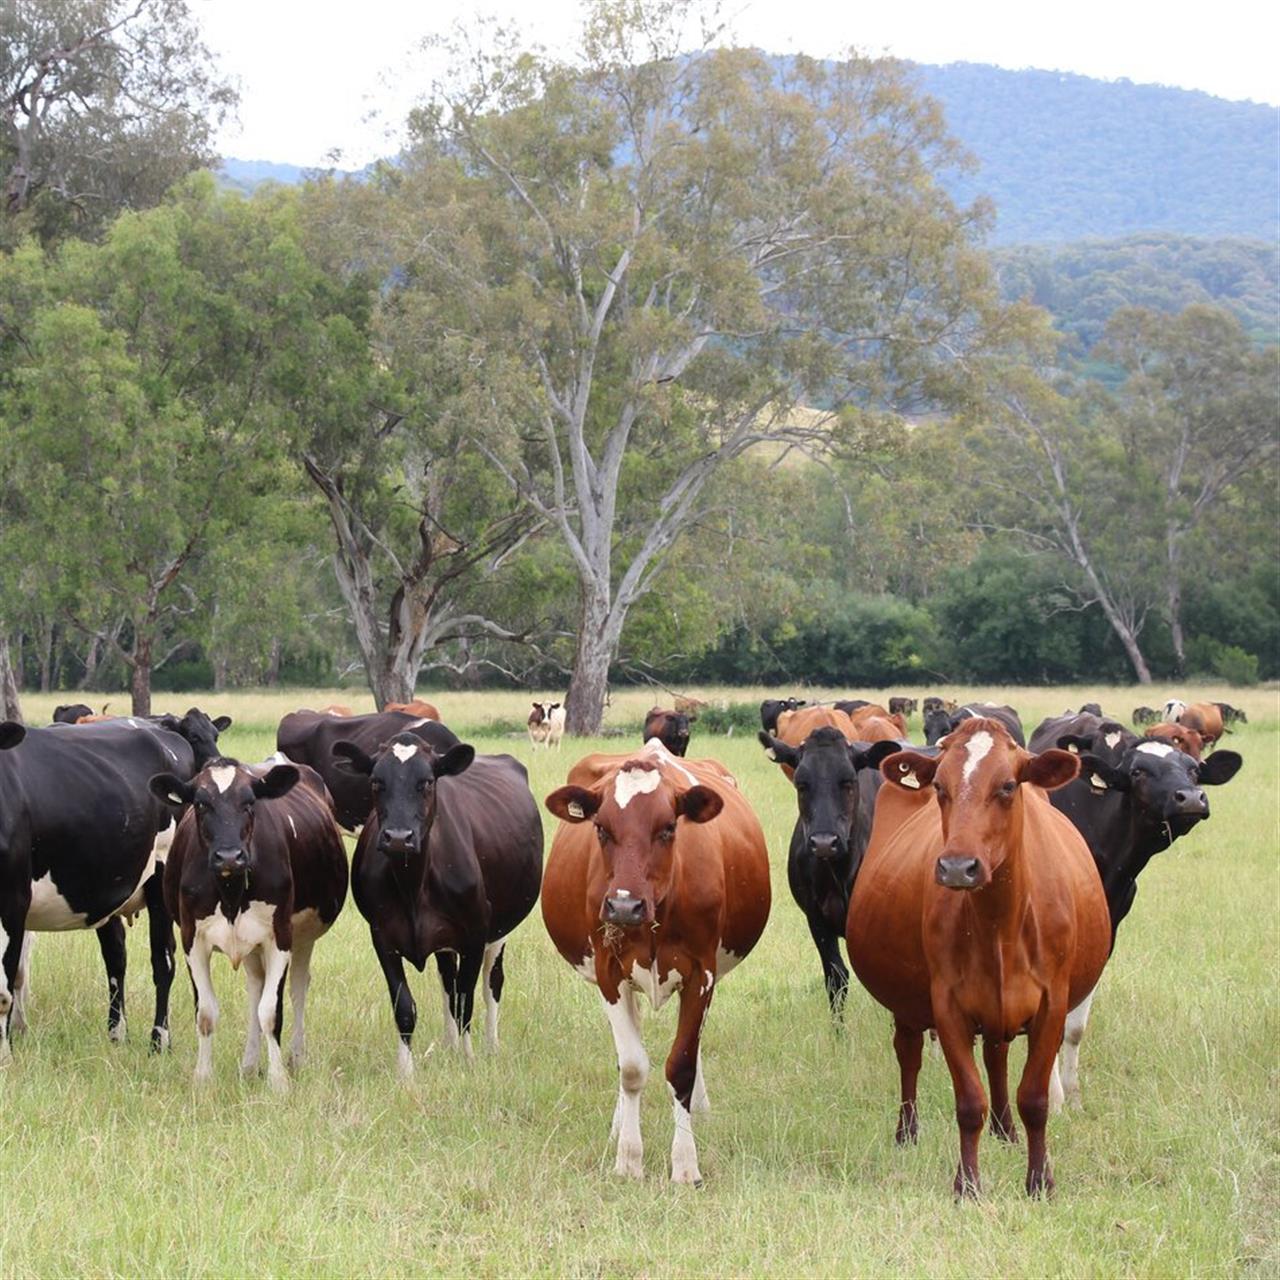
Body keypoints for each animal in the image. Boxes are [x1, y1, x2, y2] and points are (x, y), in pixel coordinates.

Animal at [0, 717, 195, 1054]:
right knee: (116, 958)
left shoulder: (13, 901)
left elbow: (7, 981)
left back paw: (159, 1042)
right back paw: (117, 1034)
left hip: (161, 879)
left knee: (163, 960)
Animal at [151, 758, 347, 1090]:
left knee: (297, 987)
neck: (231, 892)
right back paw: (249, 1065)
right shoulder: (192, 939)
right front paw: (203, 1078)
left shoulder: (279, 937)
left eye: (250, 802)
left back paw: (295, 1058)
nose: (230, 856)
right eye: (201, 804)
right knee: (255, 986)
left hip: (304, 935)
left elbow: (271, 1011)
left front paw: (279, 1080)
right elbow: (206, 1013)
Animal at [335, 734, 542, 1075]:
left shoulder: (475, 934)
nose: (398, 837)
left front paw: (468, 1061)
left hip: (499, 931)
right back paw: (449, 1045)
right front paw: (406, 1072)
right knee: (447, 982)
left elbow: (466, 1001)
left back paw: (490, 1047)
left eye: (427, 782)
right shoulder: (382, 937)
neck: (413, 885)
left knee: (491, 986)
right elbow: (406, 1006)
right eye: (376, 782)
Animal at [542, 741, 771, 1184]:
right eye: (600, 828)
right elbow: (632, 1066)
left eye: (668, 828)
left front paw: (685, 1164)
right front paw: (628, 1158)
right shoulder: (609, 973)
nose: (623, 905)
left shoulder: (702, 974)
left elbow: (681, 1065)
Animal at [848, 718, 1110, 1198]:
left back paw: (1005, 1132)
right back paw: (907, 1133)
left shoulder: (1053, 1005)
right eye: (940, 787)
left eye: (1007, 786)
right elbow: (969, 1101)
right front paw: (967, 1184)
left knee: (996, 1056)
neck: (998, 925)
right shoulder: (947, 1006)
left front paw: (1039, 1181)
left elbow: (1034, 1098)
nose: (957, 866)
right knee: (909, 1054)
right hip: (907, 1003)